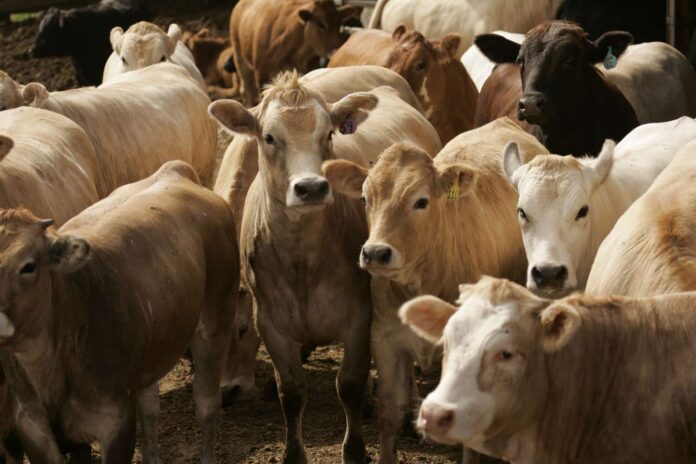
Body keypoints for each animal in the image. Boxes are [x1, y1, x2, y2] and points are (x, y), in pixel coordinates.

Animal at [0, 161, 238, 464]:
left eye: (28, 266)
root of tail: (176, 170)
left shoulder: (116, 421)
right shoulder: (32, 428)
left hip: (216, 322)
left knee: (206, 405)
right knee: (150, 410)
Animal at [209, 71, 440, 464]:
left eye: (328, 134)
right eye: (269, 136)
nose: (312, 187)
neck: (304, 262)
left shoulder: (360, 318)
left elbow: (349, 385)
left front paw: (356, 449)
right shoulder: (272, 324)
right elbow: (291, 392)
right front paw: (293, 453)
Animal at [230, 0, 358, 106]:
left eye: (340, 24)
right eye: (321, 24)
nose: (336, 49)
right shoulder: (262, 75)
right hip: (240, 57)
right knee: (247, 89)